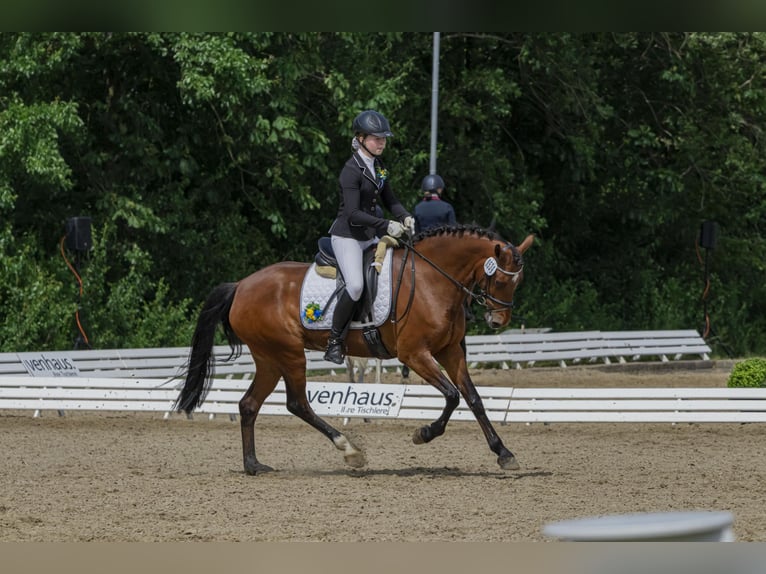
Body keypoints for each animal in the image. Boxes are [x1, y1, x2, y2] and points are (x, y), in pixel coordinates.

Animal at [176, 225, 536, 476]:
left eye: (517, 282)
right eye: (500, 280)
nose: (497, 320)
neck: (432, 279)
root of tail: (241, 285)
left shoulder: (450, 352)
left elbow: (474, 399)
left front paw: (504, 453)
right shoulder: (414, 355)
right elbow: (452, 396)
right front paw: (423, 433)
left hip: (269, 358)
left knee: (249, 404)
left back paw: (253, 465)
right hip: (289, 354)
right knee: (297, 403)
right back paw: (349, 450)